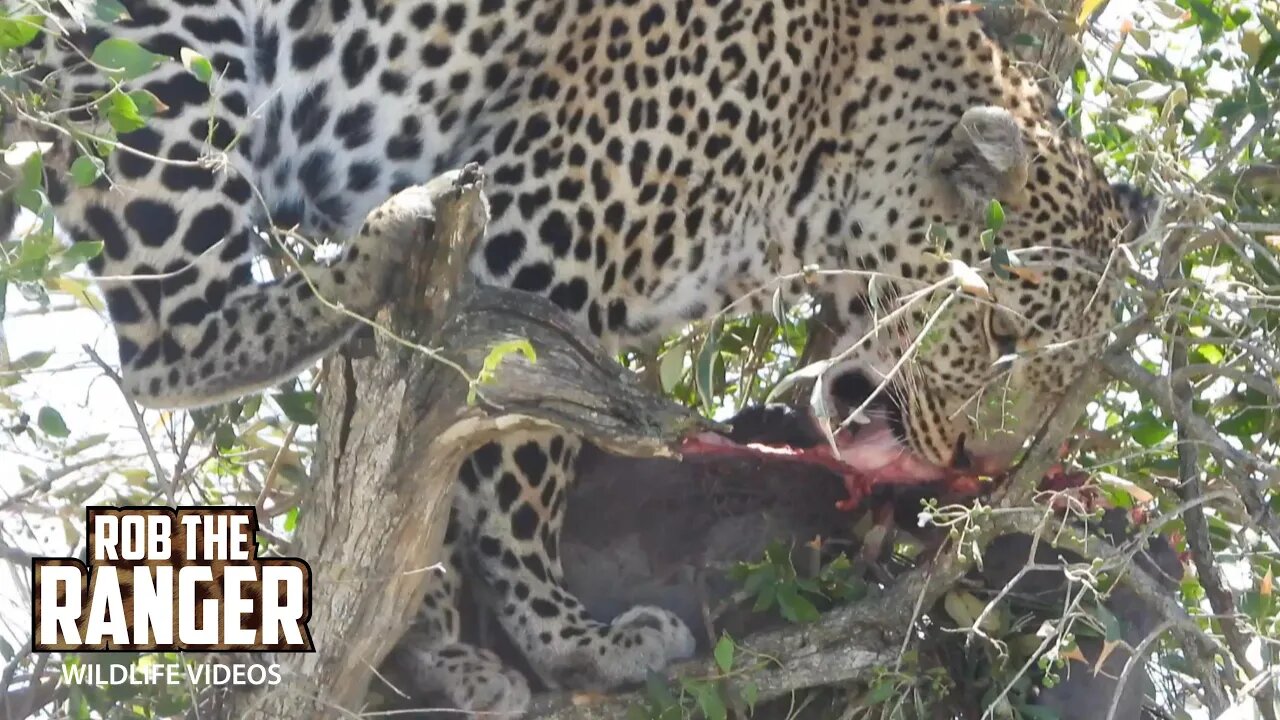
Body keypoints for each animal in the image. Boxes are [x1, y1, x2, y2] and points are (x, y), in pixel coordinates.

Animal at [5, 0, 1152, 707]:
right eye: (998, 335)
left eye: (1060, 377)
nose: (978, 463)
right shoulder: (537, 247)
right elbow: (517, 470)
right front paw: (567, 641)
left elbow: (443, 481)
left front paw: (440, 644)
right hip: (167, 49)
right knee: (171, 337)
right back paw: (376, 247)